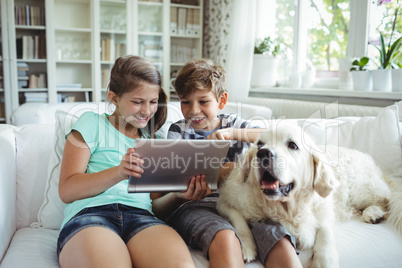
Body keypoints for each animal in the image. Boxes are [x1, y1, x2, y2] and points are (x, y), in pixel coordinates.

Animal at [217, 124, 402, 268]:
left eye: (292, 145)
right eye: (259, 144)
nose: (263, 153)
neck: (287, 208)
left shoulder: (325, 209)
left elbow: (325, 231)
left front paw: (325, 260)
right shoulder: (225, 202)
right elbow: (239, 221)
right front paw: (248, 247)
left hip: (361, 190)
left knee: (385, 200)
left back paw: (373, 212)